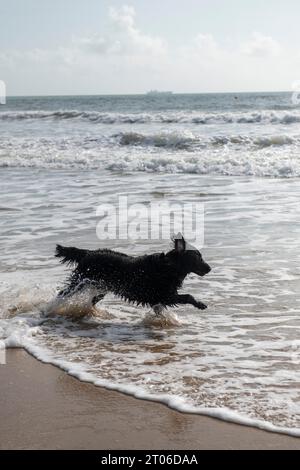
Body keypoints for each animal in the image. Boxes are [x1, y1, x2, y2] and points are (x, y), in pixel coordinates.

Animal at [55, 233, 211, 314]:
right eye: (198, 258)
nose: (209, 268)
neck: (168, 267)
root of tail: (88, 253)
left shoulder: (159, 299)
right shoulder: (166, 295)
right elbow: (188, 296)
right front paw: (200, 304)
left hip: (101, 287)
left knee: (92, 300)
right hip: (80, 282)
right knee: (62, 293)